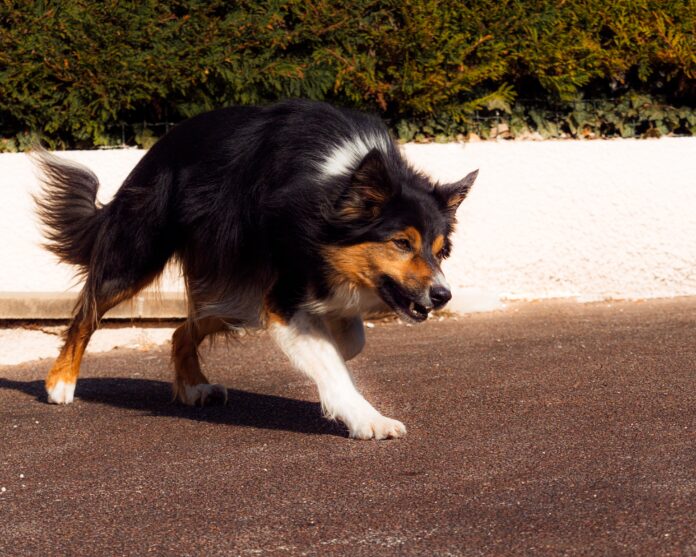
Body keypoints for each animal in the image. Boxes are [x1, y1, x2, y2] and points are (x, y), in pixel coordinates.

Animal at [34, 99, 478, 438]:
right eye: (402, 243)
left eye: (440, 251)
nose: (442, 295)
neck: (334, 190)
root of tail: (157, 148)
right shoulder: (283, 295)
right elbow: (333, 364)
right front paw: (369, 420)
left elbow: (350, 341)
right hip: (140, 253)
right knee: (87, 312)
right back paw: (61, 383)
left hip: (235, 290)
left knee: (181, 330)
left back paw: (193, 387)